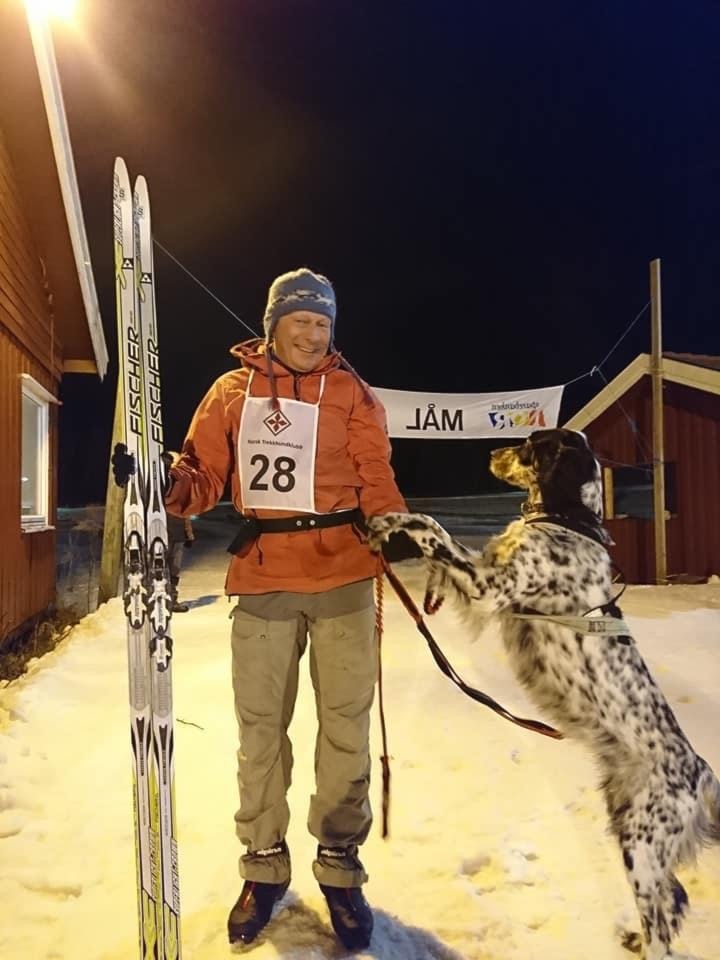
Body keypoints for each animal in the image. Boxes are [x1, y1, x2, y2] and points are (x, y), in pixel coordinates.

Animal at [369, 428, 720, 960]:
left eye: (531, 444)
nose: (491, 452)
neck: (564, 522)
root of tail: (701, 773)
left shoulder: (490, 586)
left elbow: (431, 525)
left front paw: (388, 520)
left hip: (643, 843)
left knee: (663, 922)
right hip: (631, 829)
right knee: (673, 899)